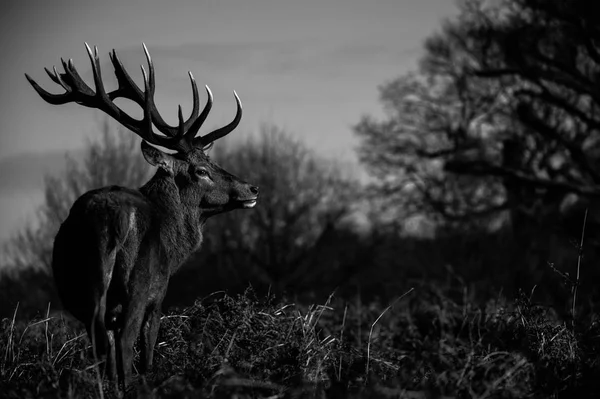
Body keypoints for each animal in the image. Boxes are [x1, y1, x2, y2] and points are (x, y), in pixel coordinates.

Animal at [25, 43, 258, 390]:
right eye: (201, 170)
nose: (252, 188)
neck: (176, 246)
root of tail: (109, 221)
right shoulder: (158, 294)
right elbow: (147, 350)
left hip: (80, 291)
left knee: (101, 346)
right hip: (137, 283)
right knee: (124, 342)